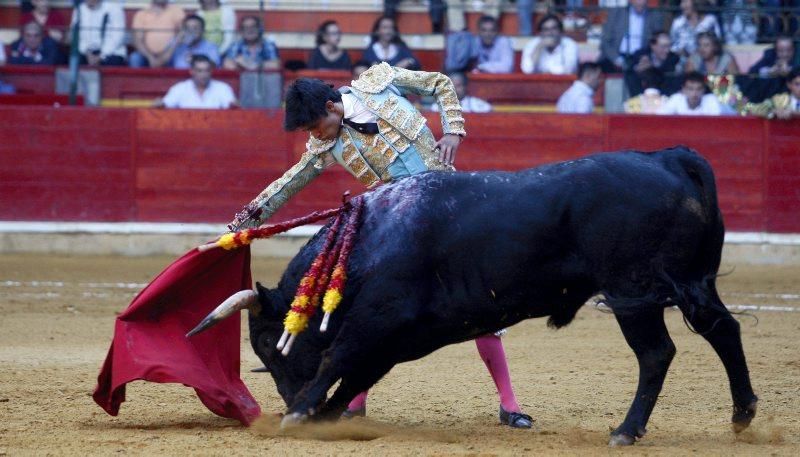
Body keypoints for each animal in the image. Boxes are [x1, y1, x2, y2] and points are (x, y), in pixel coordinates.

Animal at [194, 145, 756, 442]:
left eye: (269, 347)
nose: (287, 399)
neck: (367, 241)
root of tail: (668, 158)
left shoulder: (376, 321)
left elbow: (337, 359)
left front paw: (301, 414)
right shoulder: (399, 338)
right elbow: (357, 372)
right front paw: (326, 415)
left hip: (632, 292)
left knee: (656, 353)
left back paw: (626, 429)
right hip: (690, 284)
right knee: (723, 329)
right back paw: (742, 415)